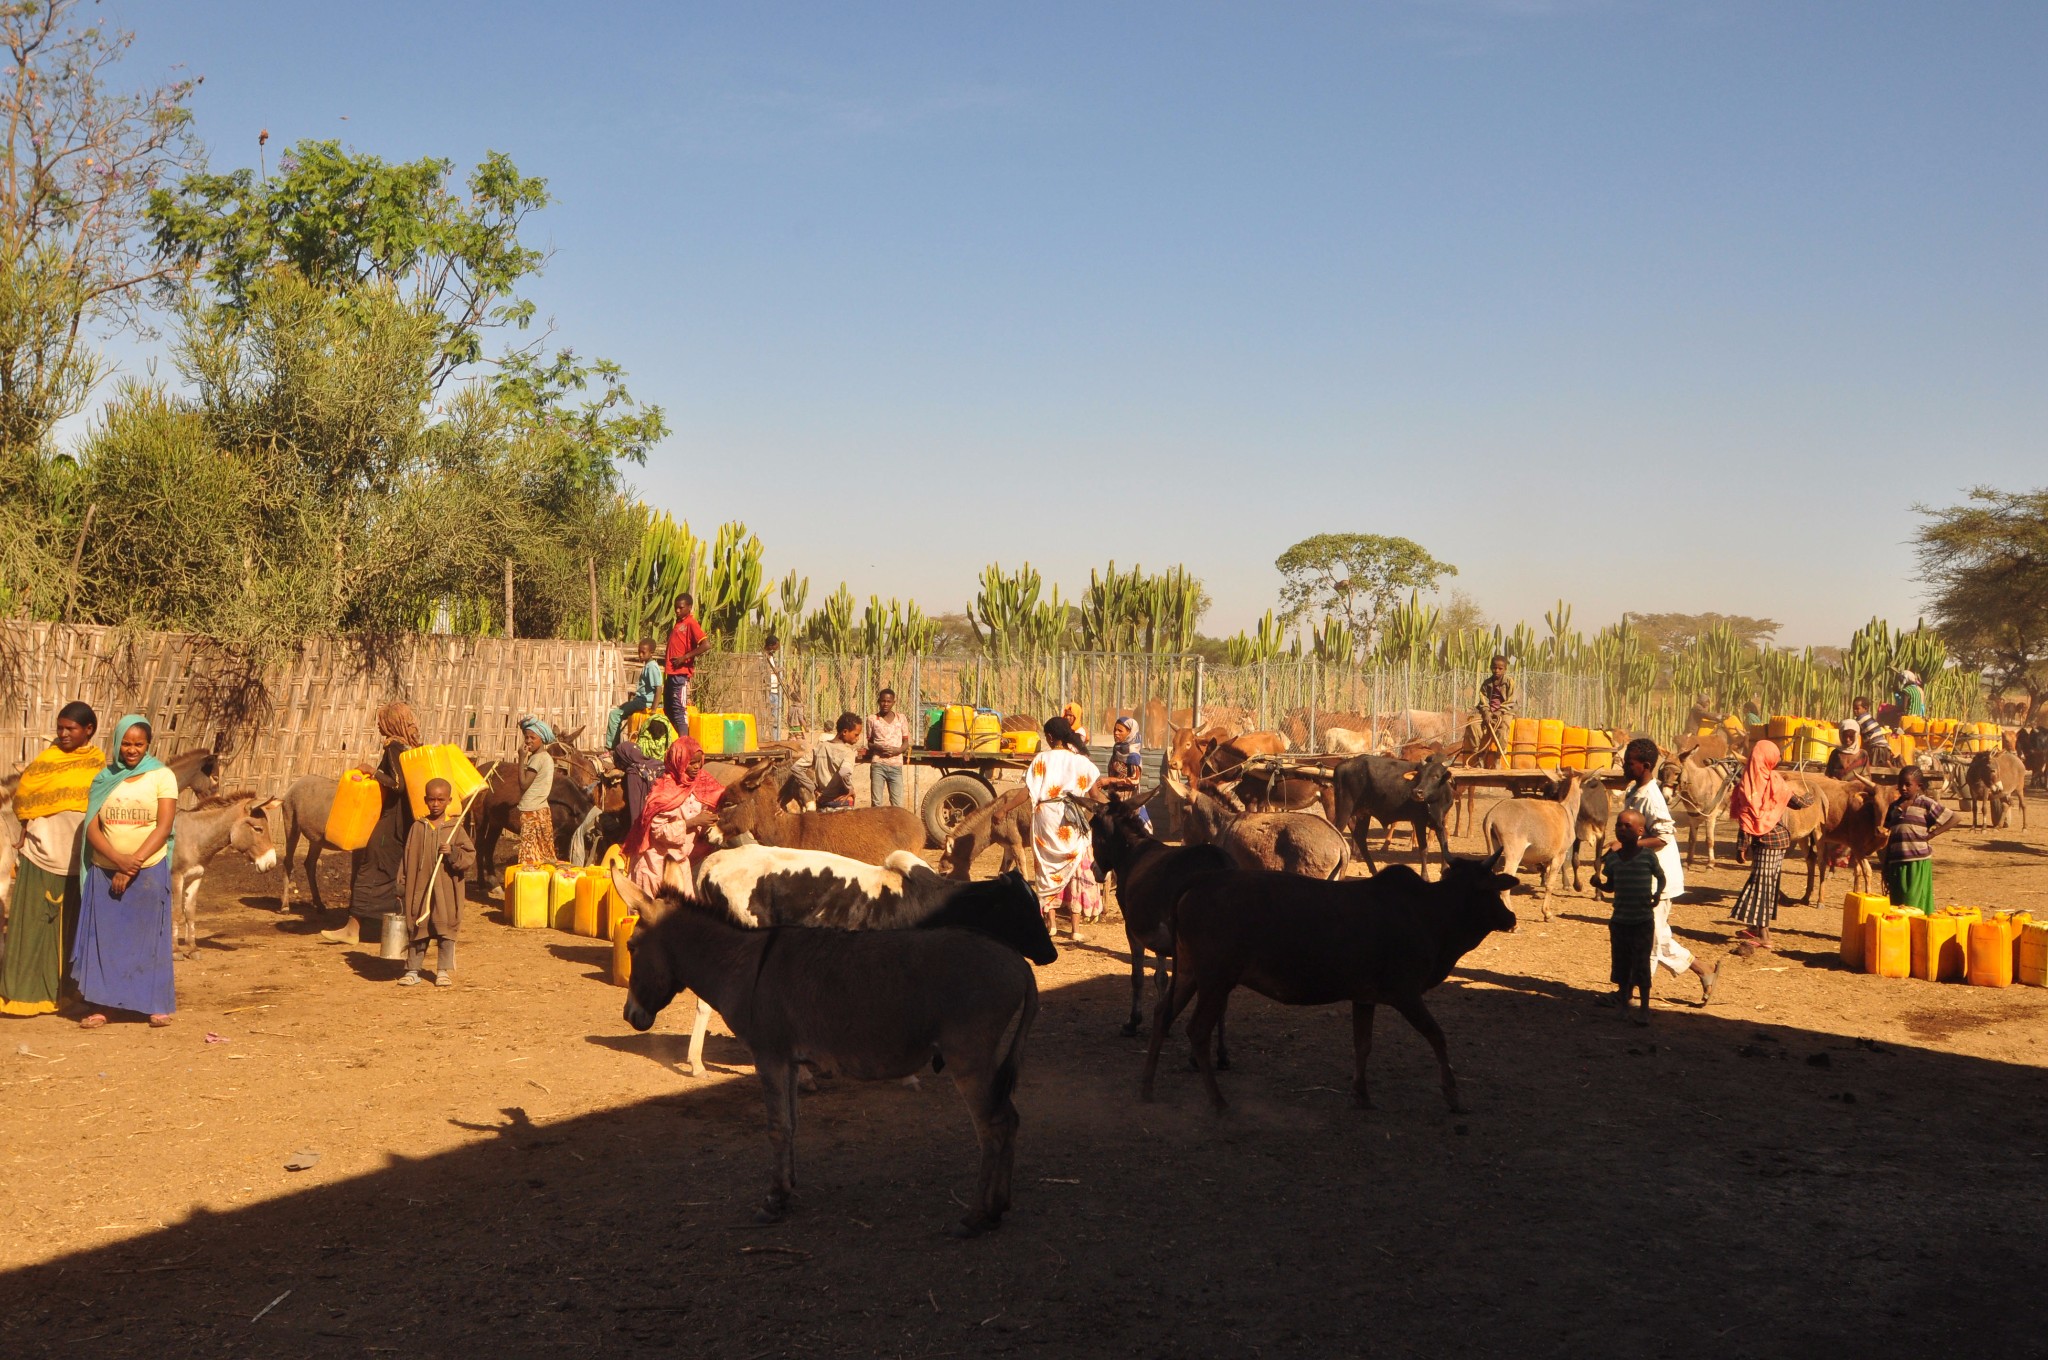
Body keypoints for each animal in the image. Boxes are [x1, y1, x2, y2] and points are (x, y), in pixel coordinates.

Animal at [1327, 749, 1458, 876]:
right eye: (1420, 776)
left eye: (1436, 776)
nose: (1417, 792)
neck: (1435, 802)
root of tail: (1343, 765)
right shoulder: (1419, 822)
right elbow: (1423, 850)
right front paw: (1425, 876)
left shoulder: (1440, 822)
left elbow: (1444, 846)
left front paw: (1444, 869)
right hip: (1345, 810)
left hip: (1363, 814)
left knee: (1360, 838)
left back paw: (1374, 870)